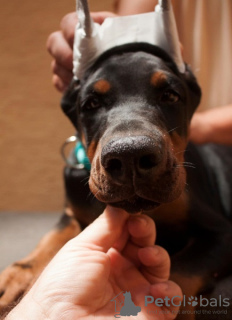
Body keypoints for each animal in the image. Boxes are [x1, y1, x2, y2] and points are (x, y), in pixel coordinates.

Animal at [0, 43, 232, 320]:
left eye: (171, 96)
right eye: (91, 103)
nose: (130, 155)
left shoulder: (221, 232)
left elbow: (179, 272)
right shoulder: (72, 212)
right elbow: (52, 238)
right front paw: (13, 278)